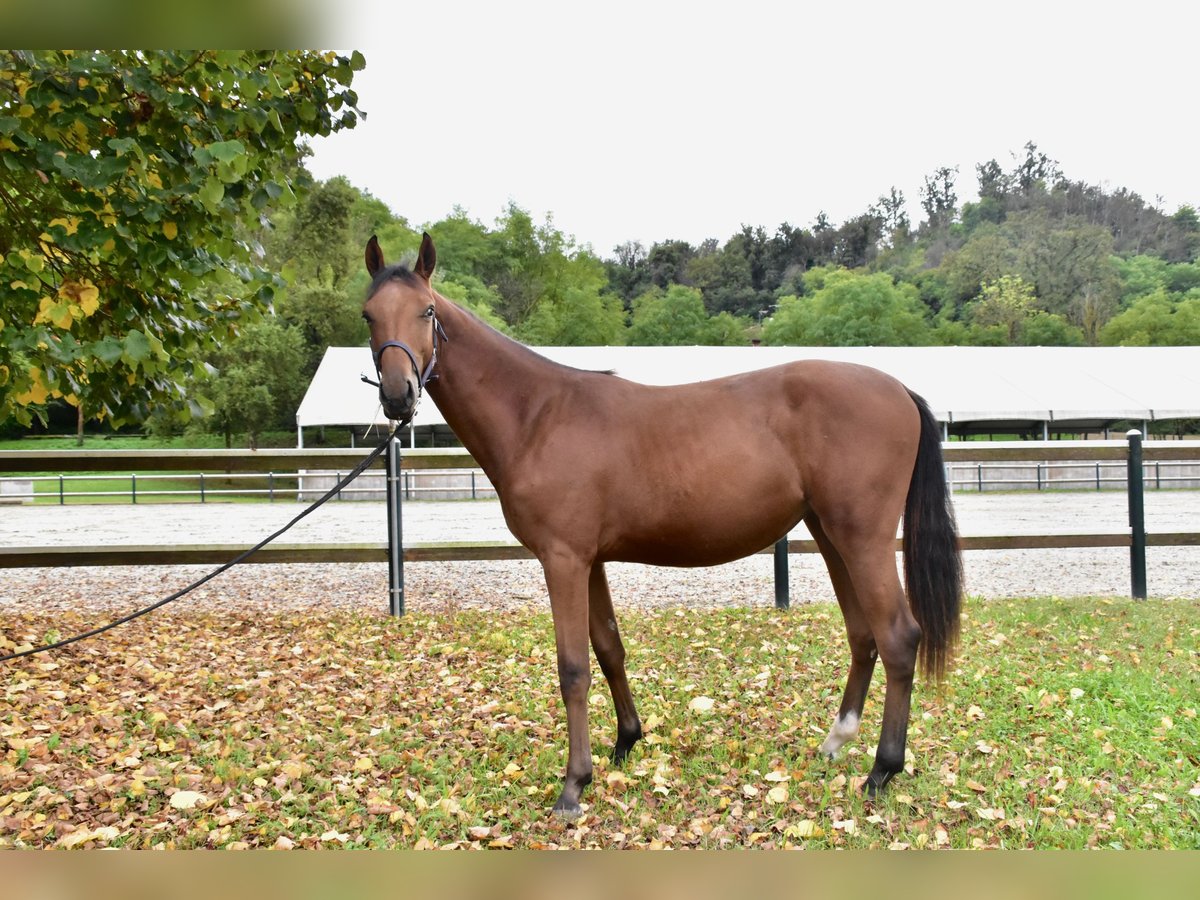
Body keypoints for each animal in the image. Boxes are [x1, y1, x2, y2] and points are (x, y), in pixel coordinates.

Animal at [360, 236, 960, 820]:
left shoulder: (563, 559)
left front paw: (573, 787)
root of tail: (900, 390)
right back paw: (836, 742)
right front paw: (626, 742)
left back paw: (882, 771)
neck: (537, 415)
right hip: (832, 535)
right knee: (863, 635)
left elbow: (573, 668)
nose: (397, 394)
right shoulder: (589, 560)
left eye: (427, 310)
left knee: (898, 637)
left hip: (863, 541)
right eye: (369, 315)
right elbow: (609, 648)